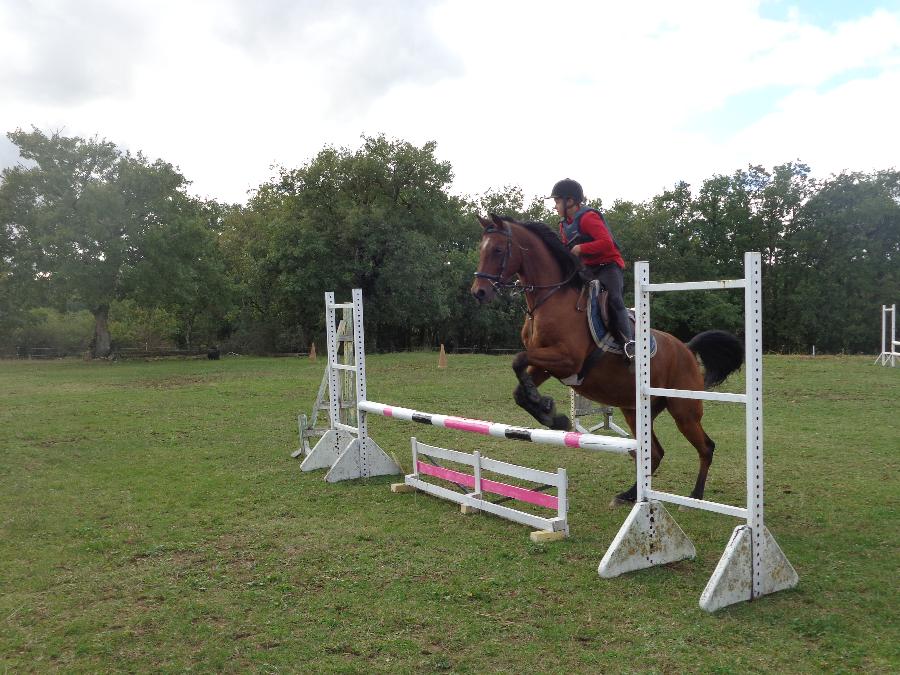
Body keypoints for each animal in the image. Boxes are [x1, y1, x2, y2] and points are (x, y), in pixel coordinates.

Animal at [468, 214, 740, 504]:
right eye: (481, 249)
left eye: (498, 250)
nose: (479, 292)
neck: (549, 300)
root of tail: (686, 349)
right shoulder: (547, 365)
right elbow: (519, 387)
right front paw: (551, 415)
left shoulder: (566, 359)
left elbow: (517, 360)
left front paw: (547, 407)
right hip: (635, 411)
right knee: (654, 452)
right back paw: (629, 495)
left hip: (684, 410)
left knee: (705, 447)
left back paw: (695, 496)